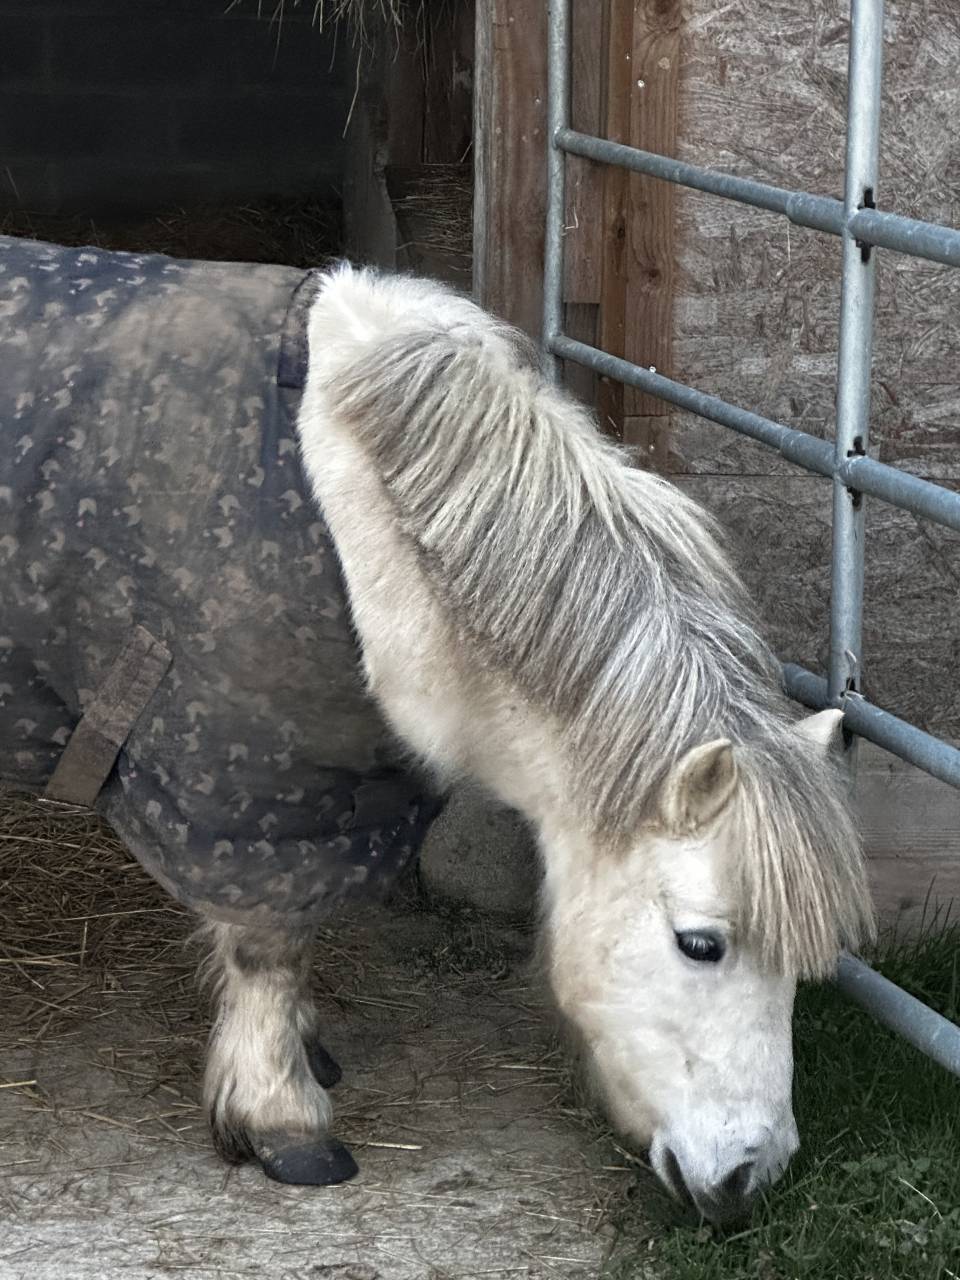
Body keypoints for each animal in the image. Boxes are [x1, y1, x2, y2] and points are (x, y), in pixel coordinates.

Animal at [0, 242, 874, 1223]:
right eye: (701, 944)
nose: (747, 1178)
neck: (359, 516)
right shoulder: (247, 791)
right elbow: (269, 948)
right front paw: (282, 1120)